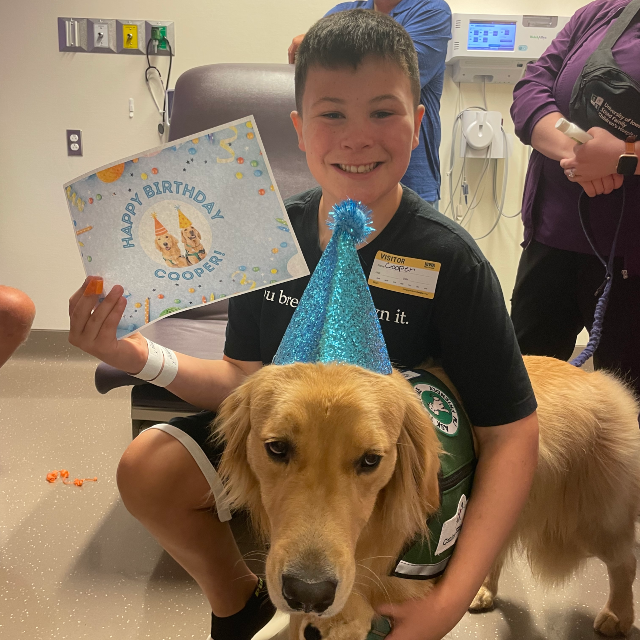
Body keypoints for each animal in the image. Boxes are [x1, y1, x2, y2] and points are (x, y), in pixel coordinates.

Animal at [215, 358, 640, 636]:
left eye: (371, 460)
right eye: (277, 448)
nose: (308, 593)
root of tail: (599, 378)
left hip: (589, 523)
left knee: (625, 559)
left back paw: (618, 615)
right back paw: (483, 590)